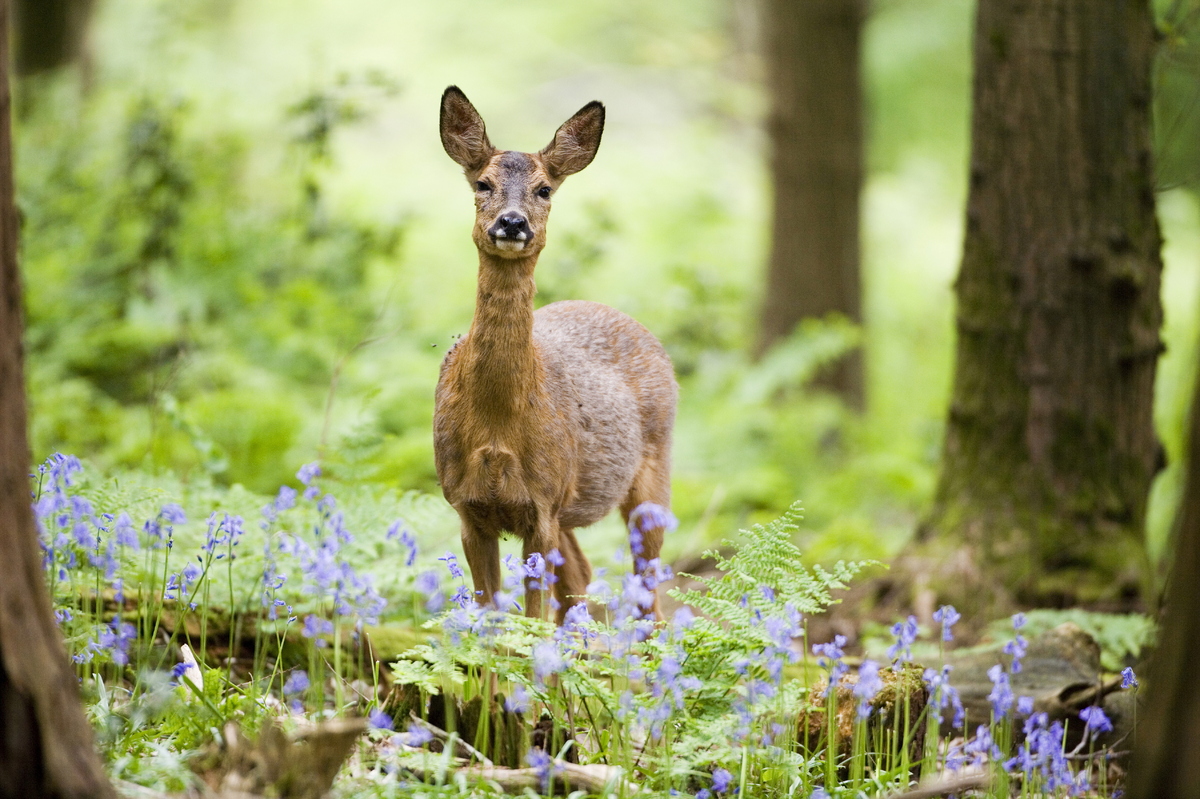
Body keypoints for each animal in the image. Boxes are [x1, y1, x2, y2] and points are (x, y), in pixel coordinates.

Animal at [434, 85, 681, 623]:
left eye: (545, 189)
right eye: (482, 183)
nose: (512, 222)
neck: (496, 425)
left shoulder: (542, 505)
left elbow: (531, 624)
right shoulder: (467, 508)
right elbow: (492, 625)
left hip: (653, 469)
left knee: (649, 590)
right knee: (582, 578)